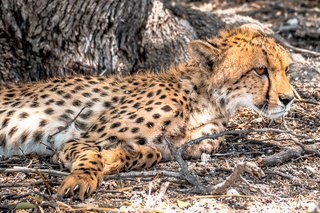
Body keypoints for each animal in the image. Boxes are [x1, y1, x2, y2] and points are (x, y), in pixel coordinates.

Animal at [0, 26, 294, 200]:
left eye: (287, 69)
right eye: (260, 70)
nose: (288, 99)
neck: (206, 99)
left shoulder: (177, 148)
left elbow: (151, 152)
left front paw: (115, 158)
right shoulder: (78, 139)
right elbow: (91, 153)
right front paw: (81, 178)